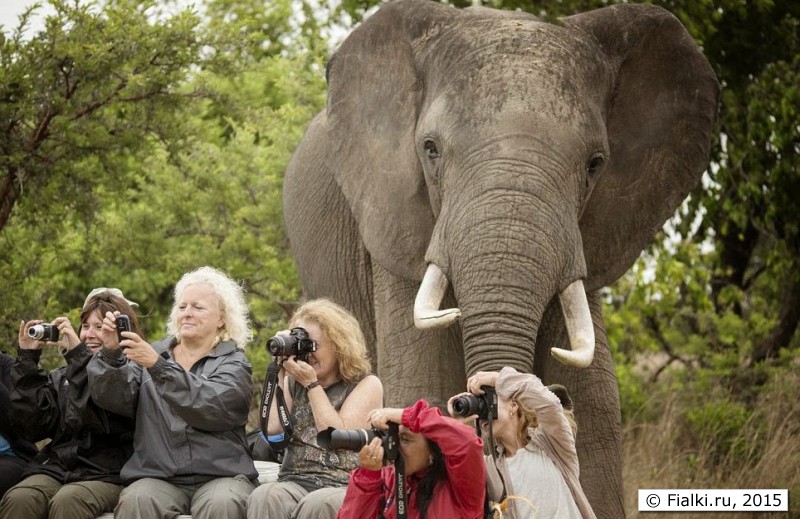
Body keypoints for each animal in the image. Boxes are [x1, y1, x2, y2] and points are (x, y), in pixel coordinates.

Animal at [282, 1, 720, 516]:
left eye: (595, 164)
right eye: (430, 149)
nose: (491, 406)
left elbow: (596, 409)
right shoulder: (394, 221)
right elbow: (424, 375)